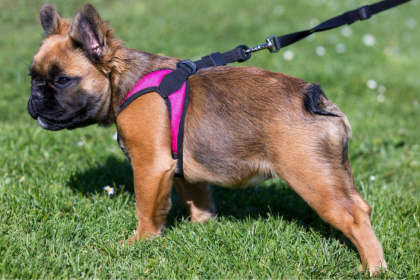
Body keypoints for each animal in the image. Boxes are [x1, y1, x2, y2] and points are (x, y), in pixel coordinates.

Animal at [26, 3, 388, 276]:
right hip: (333, 171)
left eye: (62, 80)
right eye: (32, 77)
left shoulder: (150, 166)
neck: (125, 81)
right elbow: (196, 197)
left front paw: (140, 242)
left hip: (312, 177)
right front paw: (203, 227)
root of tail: (312, 97)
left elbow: (147, 209)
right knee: (359, 205)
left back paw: (374, 267)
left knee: (354, 217)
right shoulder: (179, 166)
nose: (34, 97)